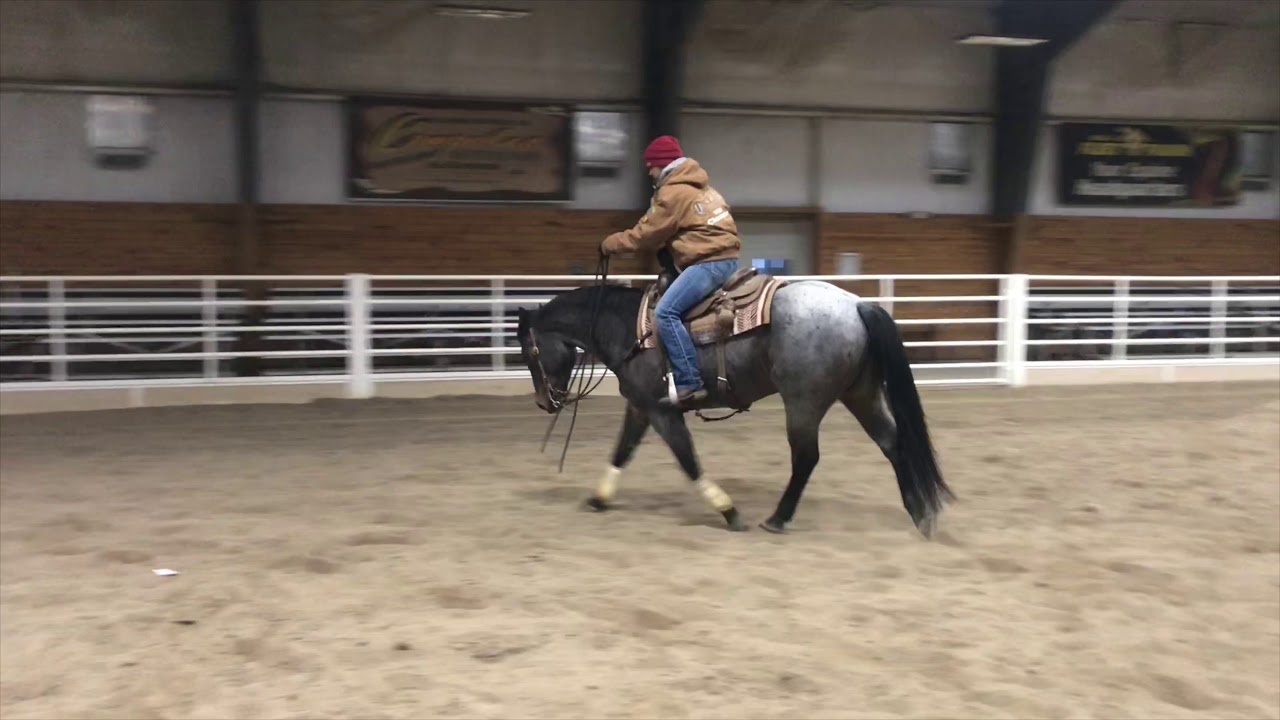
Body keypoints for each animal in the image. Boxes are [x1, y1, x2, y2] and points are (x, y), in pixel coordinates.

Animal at [514, 275, 953, 537]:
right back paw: (920, 514)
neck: (628, 329)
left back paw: (777, 518)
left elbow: (688, 461)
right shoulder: (640, 408)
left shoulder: (662, 411)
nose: (543, 402)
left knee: (807, 457)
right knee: (893, 443)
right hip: (860, 394)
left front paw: (728, 510)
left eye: (530, 351)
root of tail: (857, 306)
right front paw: (599, 498)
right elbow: (621, 452)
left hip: (804, 402)